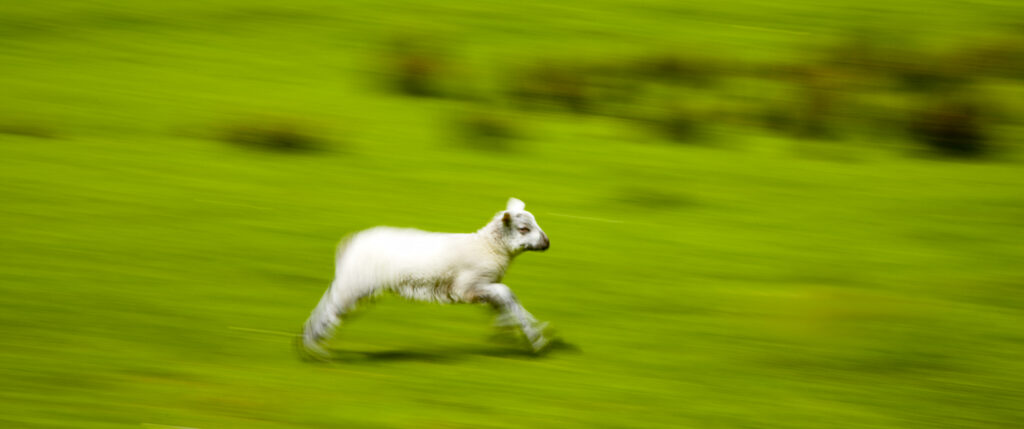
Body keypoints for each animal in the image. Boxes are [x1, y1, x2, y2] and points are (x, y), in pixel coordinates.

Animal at [300, 197, 552, 359]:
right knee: (331, 308)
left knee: (330, 303)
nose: (547, 243)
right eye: (523, 229)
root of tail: (350, 244)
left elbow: (503, 303)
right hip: (355, 284)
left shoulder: (483, 288)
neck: (488, 247)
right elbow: (508, 295)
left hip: (354, 285)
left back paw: (310, 342)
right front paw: (535, 336)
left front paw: (510, 332)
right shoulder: (468, 287)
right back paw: (314, 346)